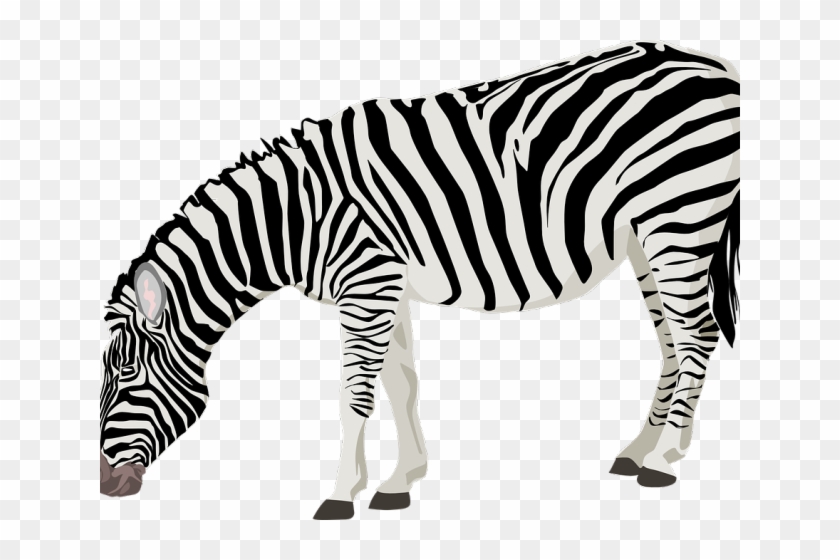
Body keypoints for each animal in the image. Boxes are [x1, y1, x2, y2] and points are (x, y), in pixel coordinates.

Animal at [100, 41, 740, 520]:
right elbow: (400, 384)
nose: (107, 488)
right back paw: (641, 449)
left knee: (697, 335)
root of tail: (715, 65)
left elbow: (355, 394)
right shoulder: (386, 286)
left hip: (679, 217)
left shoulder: (367, 282)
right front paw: (399, 481)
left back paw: (663, 461)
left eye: (125, 373)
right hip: (644, 239)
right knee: (672, 342)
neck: (294, 217)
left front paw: (340, 494)